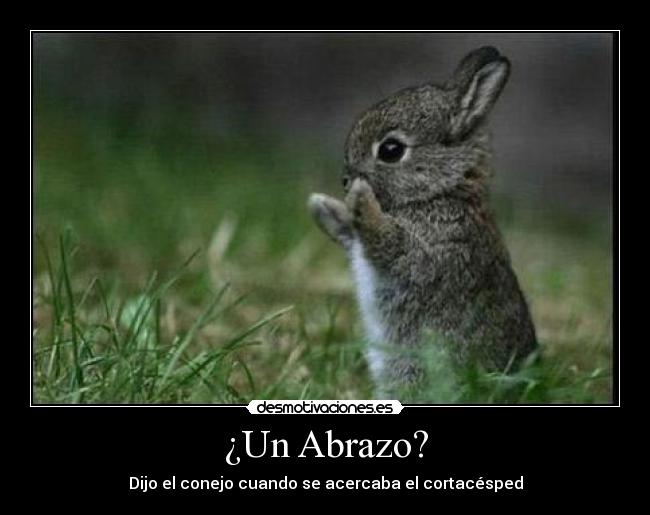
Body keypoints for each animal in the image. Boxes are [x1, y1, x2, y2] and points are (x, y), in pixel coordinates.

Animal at [308, 46, 537, 397]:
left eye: (391, 150)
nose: (346, 180)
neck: (440, 192)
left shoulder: (434, 251)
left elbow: (392, 245)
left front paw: (361, 197)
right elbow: (352, 234)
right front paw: (324, 207)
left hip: (413, 367)